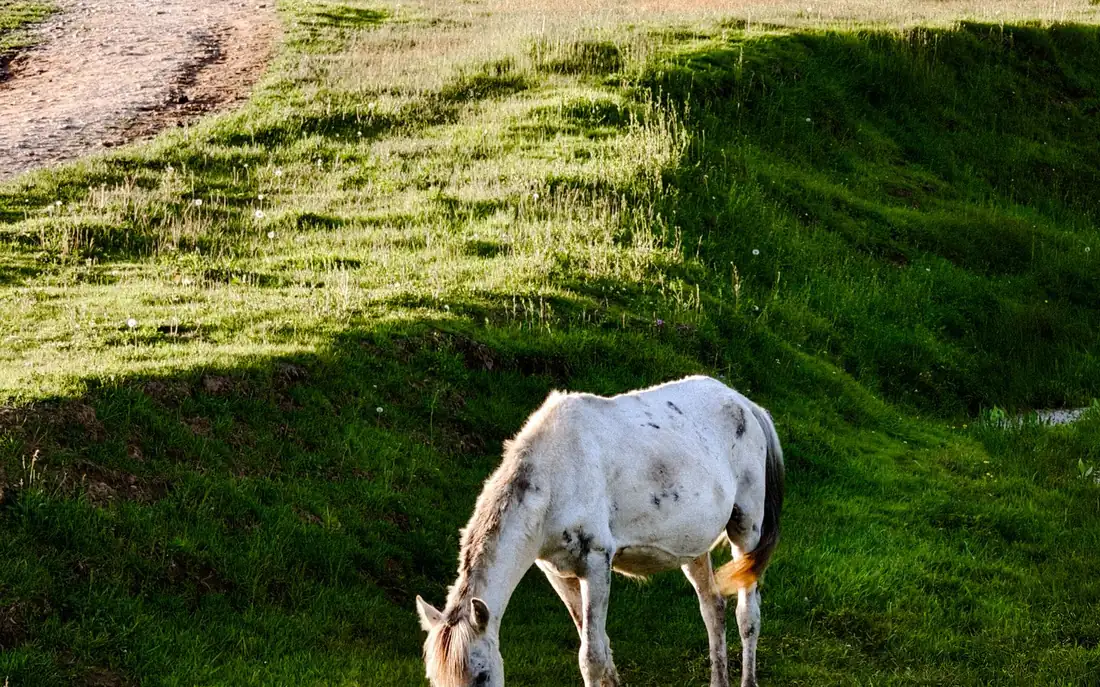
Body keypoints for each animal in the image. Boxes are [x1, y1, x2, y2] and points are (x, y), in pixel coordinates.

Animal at [415, 375, 785, 687]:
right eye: (434, 680)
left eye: (481, 675)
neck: (553, 477)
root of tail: (746, 404)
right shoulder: (558, 573)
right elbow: (601, 650)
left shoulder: (595, 563)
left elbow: (591, 657)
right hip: (693, 547)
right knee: (712, 608)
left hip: (747, 529)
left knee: (747, 616)